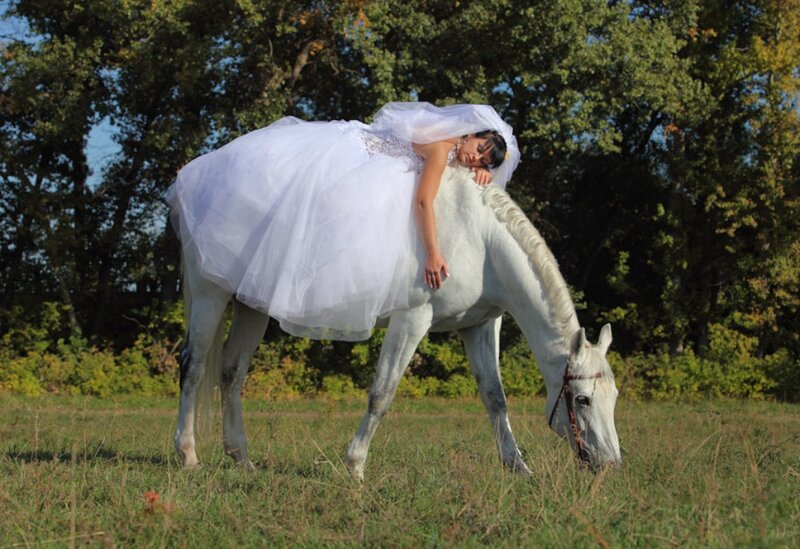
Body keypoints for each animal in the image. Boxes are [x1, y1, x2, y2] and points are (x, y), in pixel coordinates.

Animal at [173, 164, 622, 478]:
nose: (611, 465)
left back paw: (241, 458)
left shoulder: (478, 326)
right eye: (582, 399)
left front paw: (517, 466)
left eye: (614, 397)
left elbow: (495, 397)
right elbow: (382, 394)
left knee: (231, 372)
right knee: (193, 369)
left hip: (251, 306)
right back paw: (188, 455)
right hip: (210, 296)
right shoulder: (412, 320)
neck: (480, 239)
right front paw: (354, 466)